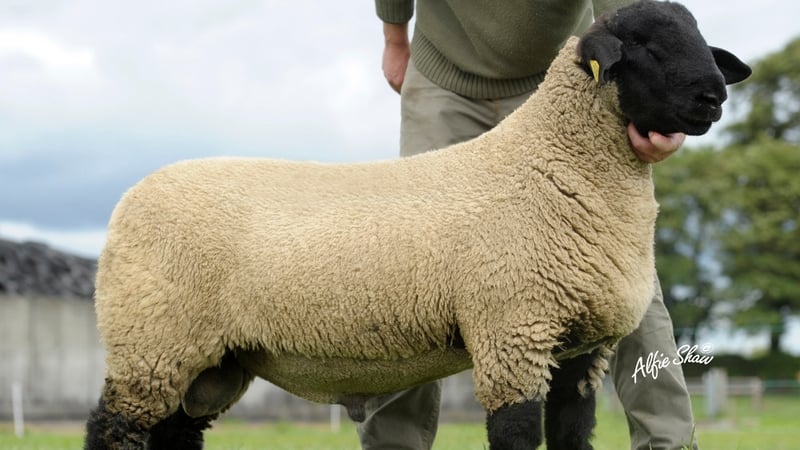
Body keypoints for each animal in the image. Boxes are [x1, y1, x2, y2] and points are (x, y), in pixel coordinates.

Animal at [84, 1, 751, 449]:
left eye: (699, 37)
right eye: (642, 44)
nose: (713, 97)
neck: (551, 164)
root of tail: (130, 197)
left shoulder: (580, 350)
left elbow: (571, 435)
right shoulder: (512, 333)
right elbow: (516, 436)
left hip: (209, 361)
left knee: (174, 434)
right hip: (152, 339)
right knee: (111, 429)